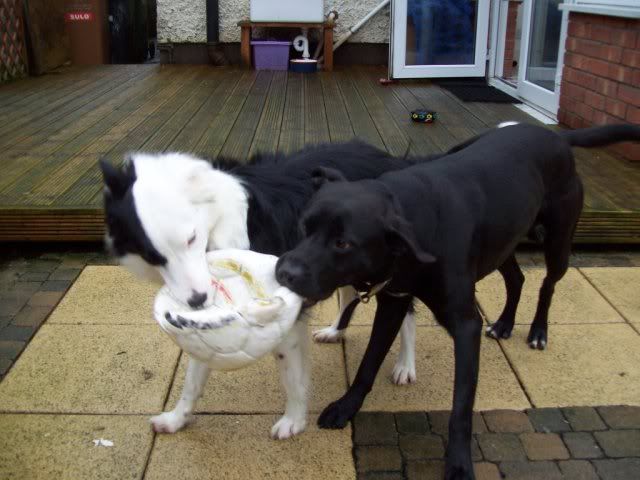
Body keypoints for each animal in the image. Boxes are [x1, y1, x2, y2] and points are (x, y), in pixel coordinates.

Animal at [278, 123, 640, 476]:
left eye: (343, 243)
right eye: (303, 226)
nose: (283, 271)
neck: (417, 223)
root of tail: (556, 135)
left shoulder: (466, 326)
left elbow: (461, 406)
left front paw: (459, 463)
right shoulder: (394, 302)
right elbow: (368, 364)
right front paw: (346, 407)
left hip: (558, 244)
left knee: (547, 285)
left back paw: (538, 331)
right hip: (502, 244)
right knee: (517, 278)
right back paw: (504, 323)